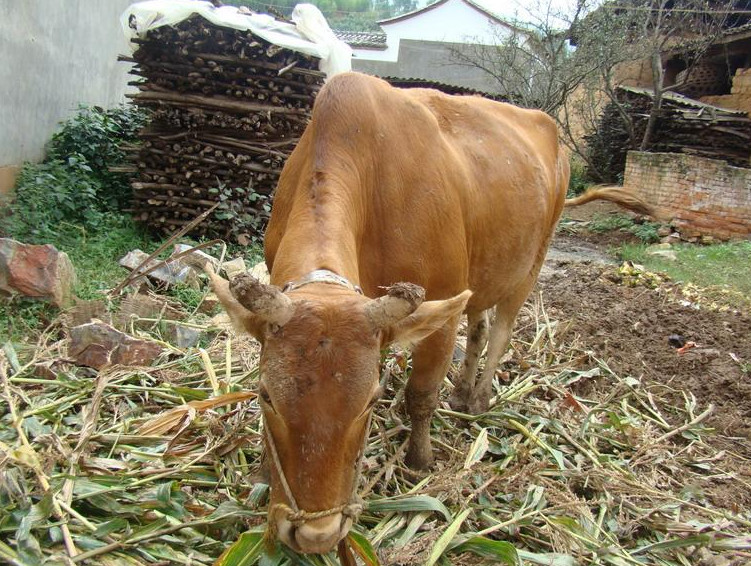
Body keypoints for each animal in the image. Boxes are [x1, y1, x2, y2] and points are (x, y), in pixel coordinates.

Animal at [209, 73, 648, 556]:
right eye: (266, 395)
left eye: (370, 401)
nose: (315, 534)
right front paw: (263, 470)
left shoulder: (441, 310)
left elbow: (420, 396)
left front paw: (420, 460)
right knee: (478, 329)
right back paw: (462, 389)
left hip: (531, 265)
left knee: (501, 333)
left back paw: (477, 398)